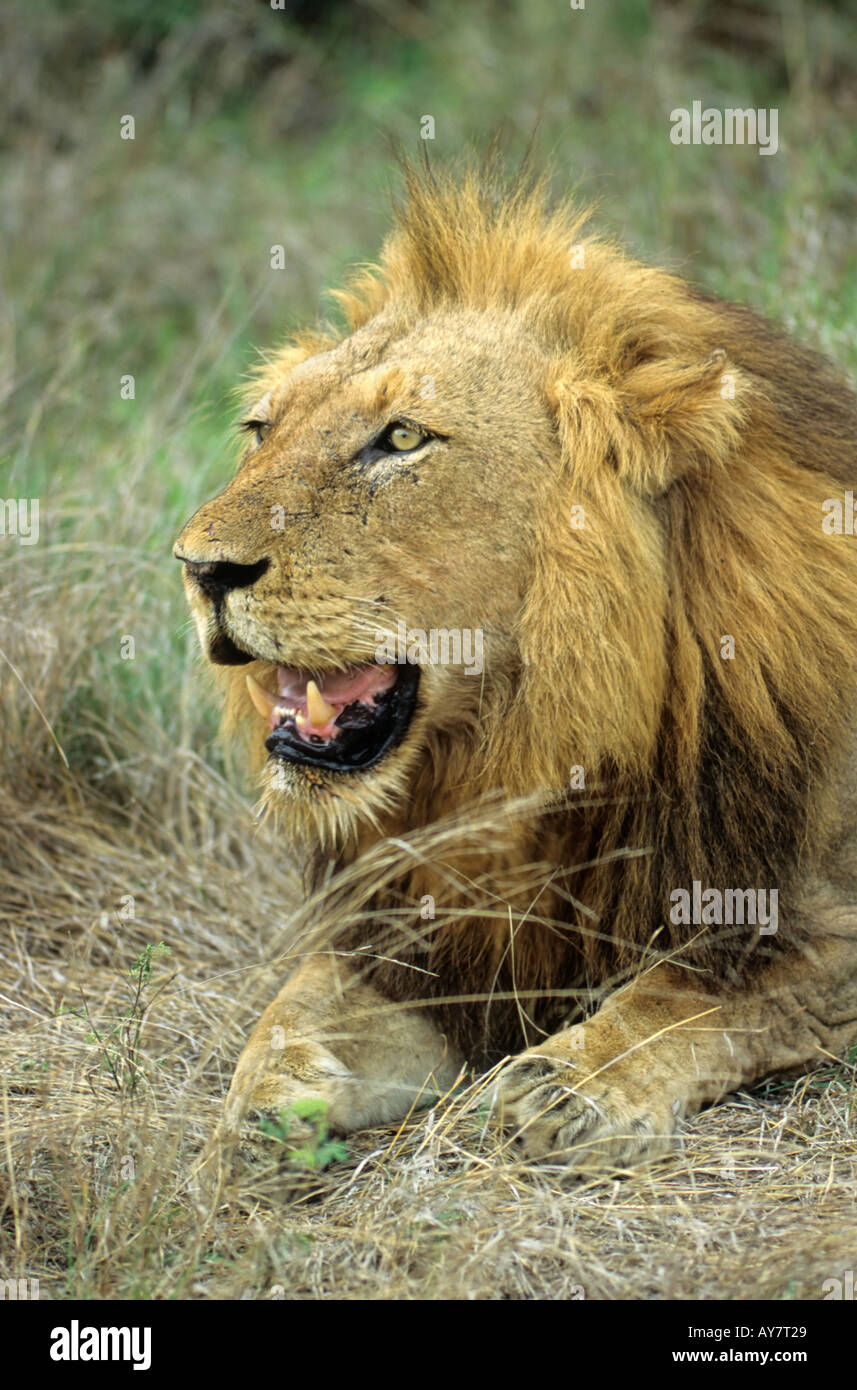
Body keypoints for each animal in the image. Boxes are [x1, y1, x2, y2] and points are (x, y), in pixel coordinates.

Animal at [175, 156, 857, 1170]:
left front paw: (566, 1084)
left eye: (402, 438)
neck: (524, 754)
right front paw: (256, 1120)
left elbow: (705, 987)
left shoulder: (813, 921)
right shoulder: (424, 939)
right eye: (262, 430)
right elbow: (289, 1014)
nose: (200, 569)